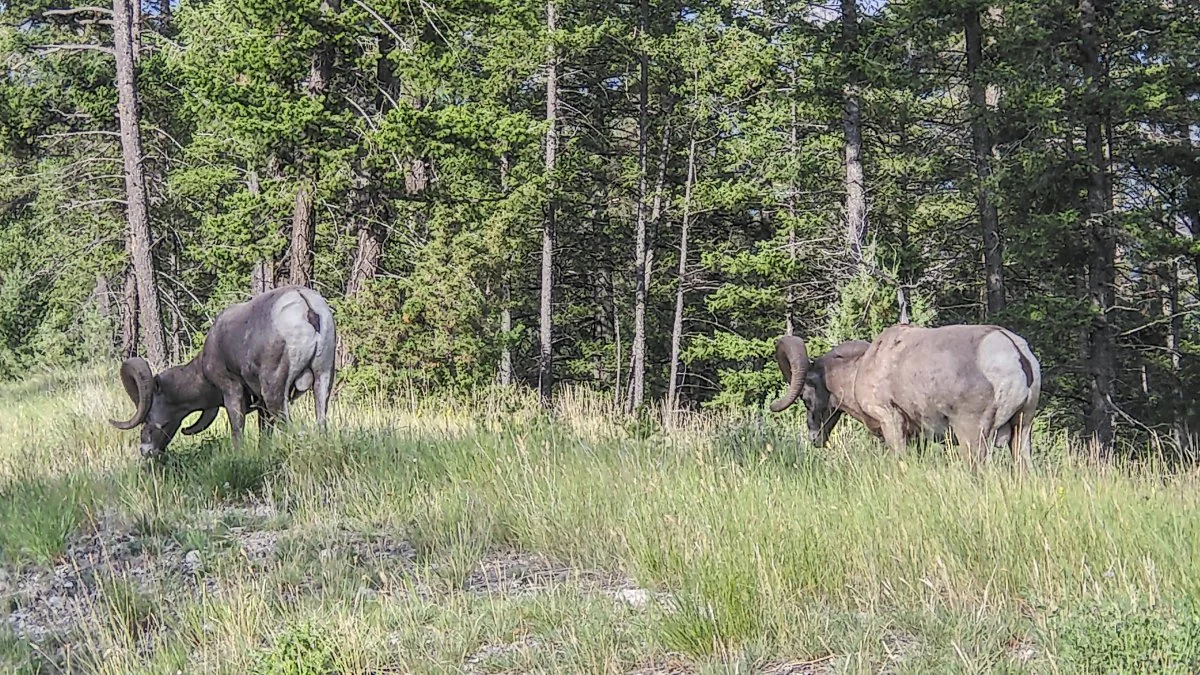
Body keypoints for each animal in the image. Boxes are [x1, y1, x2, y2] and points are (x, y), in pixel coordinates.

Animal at [108, 281, 336, 454]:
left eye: (148, 417)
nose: (146, 451)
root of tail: (305, 306)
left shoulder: (231, 391)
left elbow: (237, 430)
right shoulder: (260, 404)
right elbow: (264, 433)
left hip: (275, 392)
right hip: (323, 378)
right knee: (321, 419)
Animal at [768, 324, 1041, 466]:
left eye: (805, 398)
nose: (815, 438)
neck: (859, 371)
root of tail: (1016, 355)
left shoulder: (891, 421)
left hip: (974, 437)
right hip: (1022, 429)